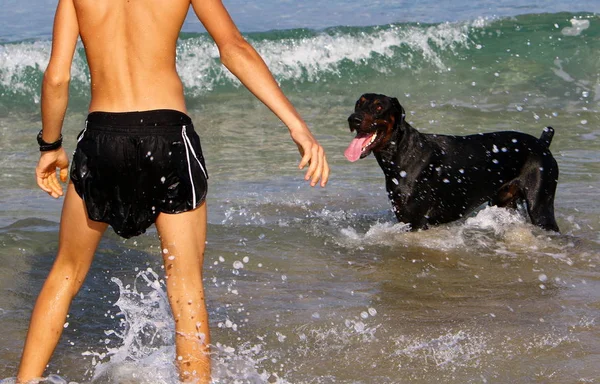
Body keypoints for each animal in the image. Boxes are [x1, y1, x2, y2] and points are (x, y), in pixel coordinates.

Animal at [344, 93, 560, 231]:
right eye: (358, 104)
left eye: (379, 107)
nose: (353, 119)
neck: (401, 154)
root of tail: (542, 143)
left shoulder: (417, 221)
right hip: (503, 201)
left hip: (540, 206)